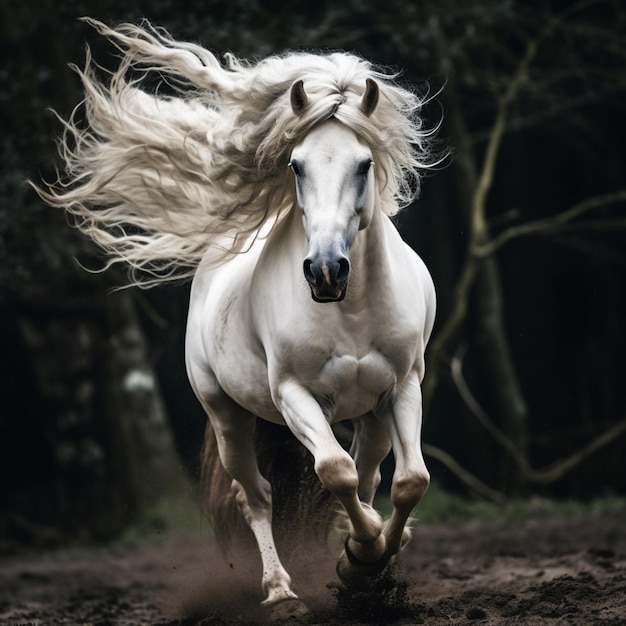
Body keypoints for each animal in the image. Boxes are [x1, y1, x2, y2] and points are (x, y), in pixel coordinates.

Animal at [36, 19, 436, 608]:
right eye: (296, 165)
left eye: (364, 165)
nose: (325, 271)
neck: (350, 314)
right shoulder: (293, 394)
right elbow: (334, 472)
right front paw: (361, 556)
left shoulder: (402, 386)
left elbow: (408, 482)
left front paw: (369, 561)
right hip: (229, 416)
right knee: (259, 494)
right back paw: (279, 589)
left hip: (368, 412)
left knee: (367, 478)